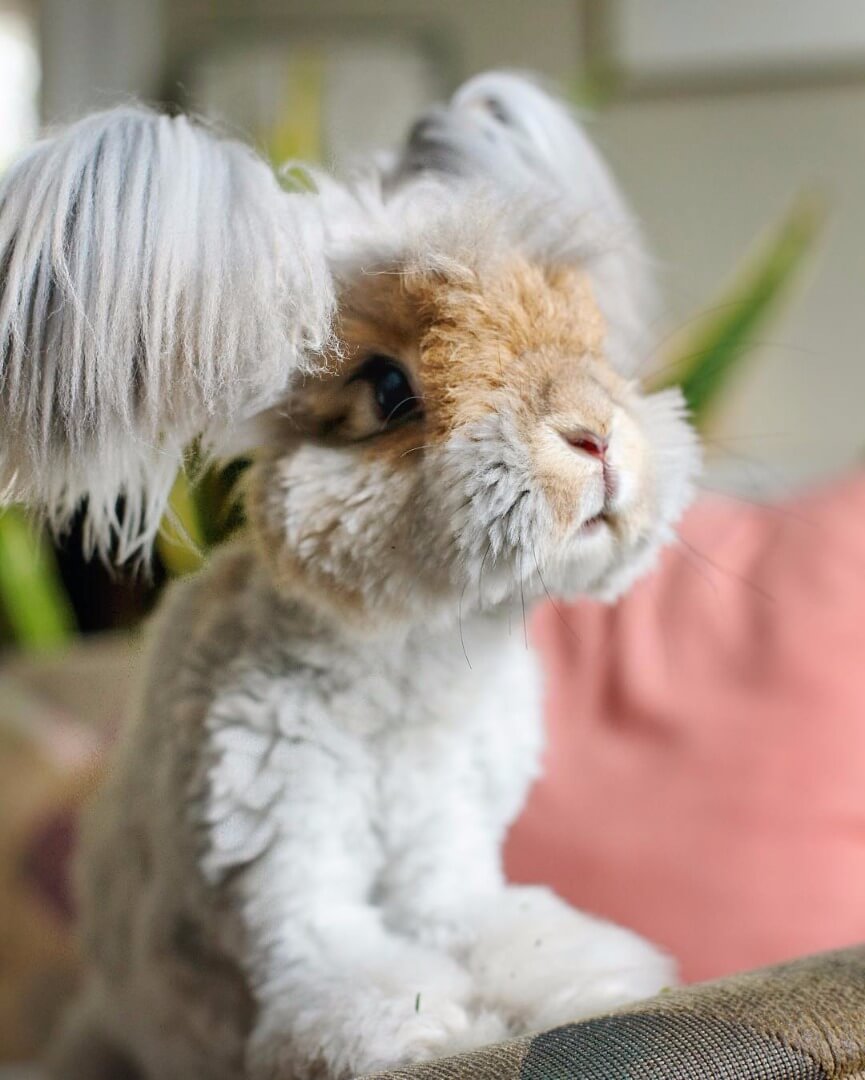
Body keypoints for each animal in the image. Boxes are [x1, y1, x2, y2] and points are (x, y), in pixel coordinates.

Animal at [0, 71, 699, 1075]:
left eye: (588, 338)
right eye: (388, 389)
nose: (595, 437)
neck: (413, 647)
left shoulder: (446, 853)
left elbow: (506, 931)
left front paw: (596, 988)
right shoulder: (282, 857)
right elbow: (345, 975)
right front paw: (437, 1034)